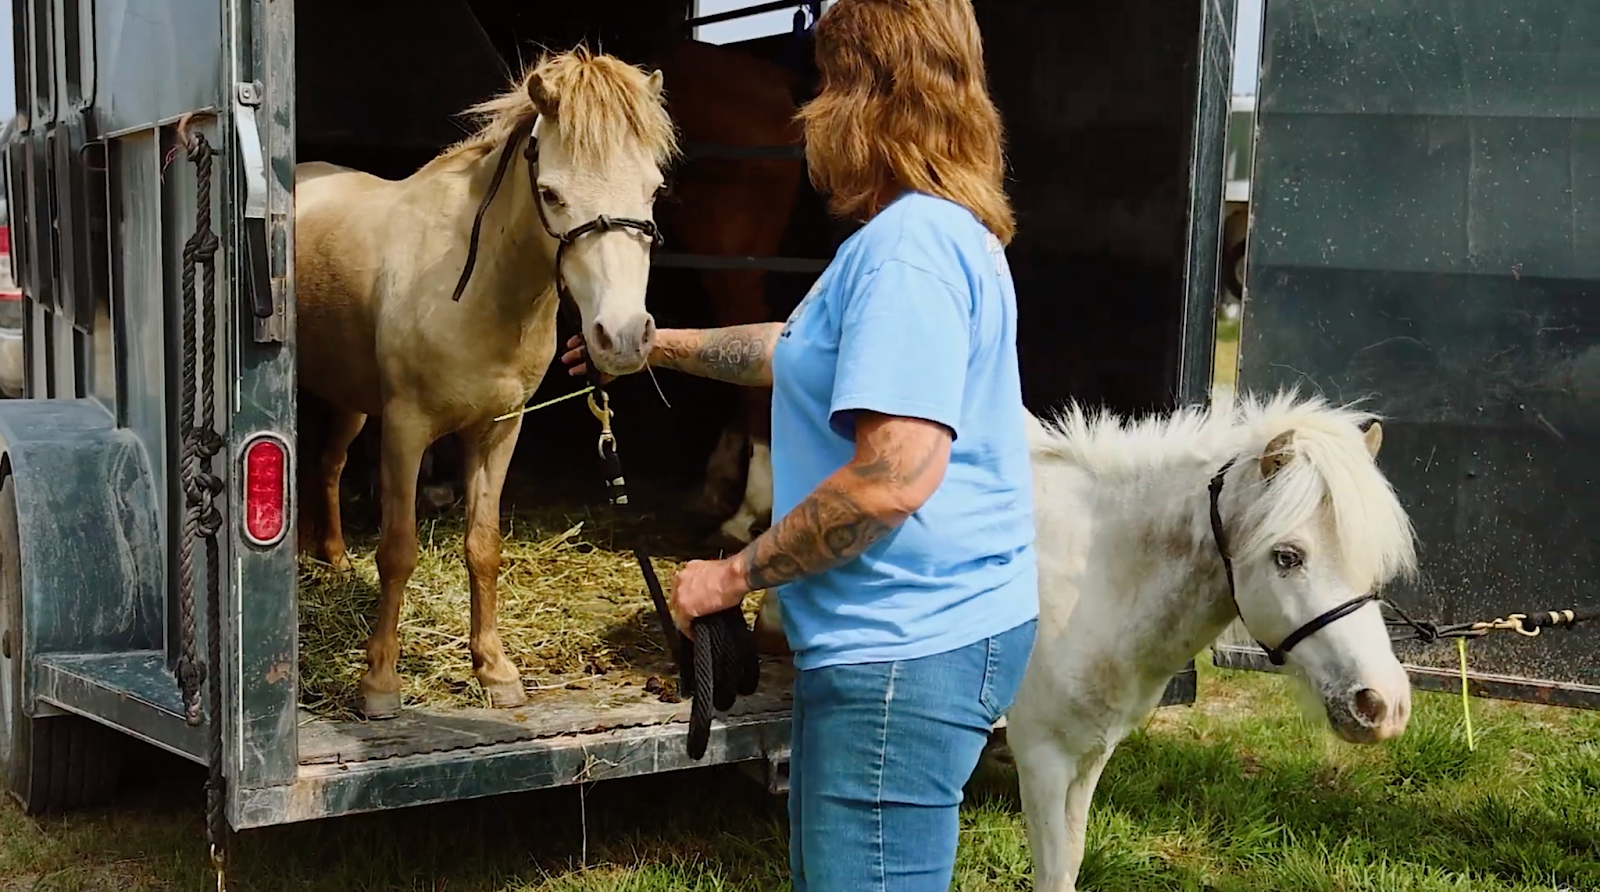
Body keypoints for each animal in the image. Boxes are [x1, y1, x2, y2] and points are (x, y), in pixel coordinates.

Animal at [294, 46, 679, 719]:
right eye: (551, 193)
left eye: (654, 189)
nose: (624, 336)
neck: (474, 286)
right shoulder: (406, 430)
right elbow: (398, 551)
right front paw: (379, 682)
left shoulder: (498, 431)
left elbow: (484, 547)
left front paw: (495, 671)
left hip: (349, 399)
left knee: (330, 464)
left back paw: (336, 560)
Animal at [752, 391, 1419, 891]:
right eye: (1287, 556)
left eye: (1371, 561)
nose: (1381, 706)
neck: (1095, 581)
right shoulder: (1042, 755)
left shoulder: (1092, 750)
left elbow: (1069, 863)